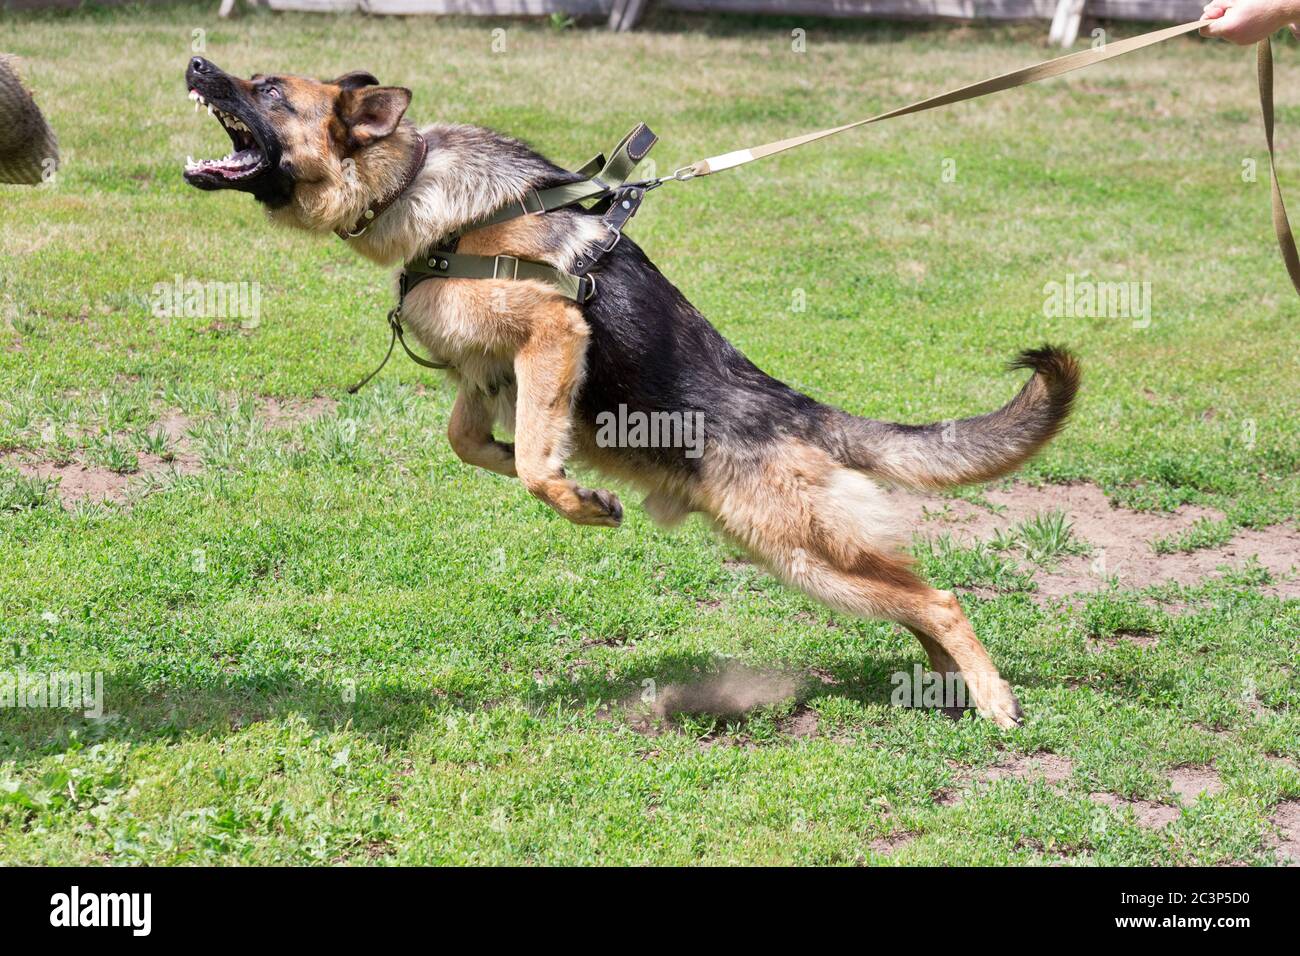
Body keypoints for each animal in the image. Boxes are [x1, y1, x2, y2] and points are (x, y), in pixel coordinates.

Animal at [180, 57, 1076, 723]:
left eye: (269, 91)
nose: (195, 63)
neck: (414, 185)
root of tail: (799, 410)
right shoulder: (486, 370)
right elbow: (474, 443)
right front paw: (577, 483)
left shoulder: (552, 332)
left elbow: (535, 461)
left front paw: (579, 500)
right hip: (800, 557)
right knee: (915, 600)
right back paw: (941, 685)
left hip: (805, 551)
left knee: (943, 598)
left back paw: (994, 703)